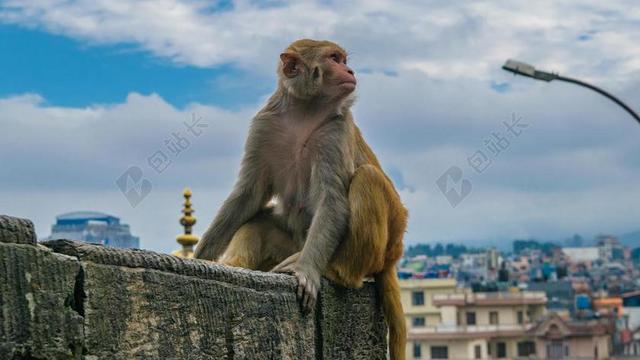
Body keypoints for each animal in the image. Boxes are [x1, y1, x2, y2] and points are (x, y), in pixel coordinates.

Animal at [192, 39, 408, 360]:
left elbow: (332, 199)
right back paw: (235, 264)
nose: (350, 71)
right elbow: (249, 195)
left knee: (367, 178)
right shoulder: (264, 124)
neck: (304, 112)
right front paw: (201, 256)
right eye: (335, 59)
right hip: (294, 243)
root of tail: (394, 253)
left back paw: (336, 271)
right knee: (260, 219)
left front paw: (306, 271)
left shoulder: (336, 129)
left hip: (382, 243)